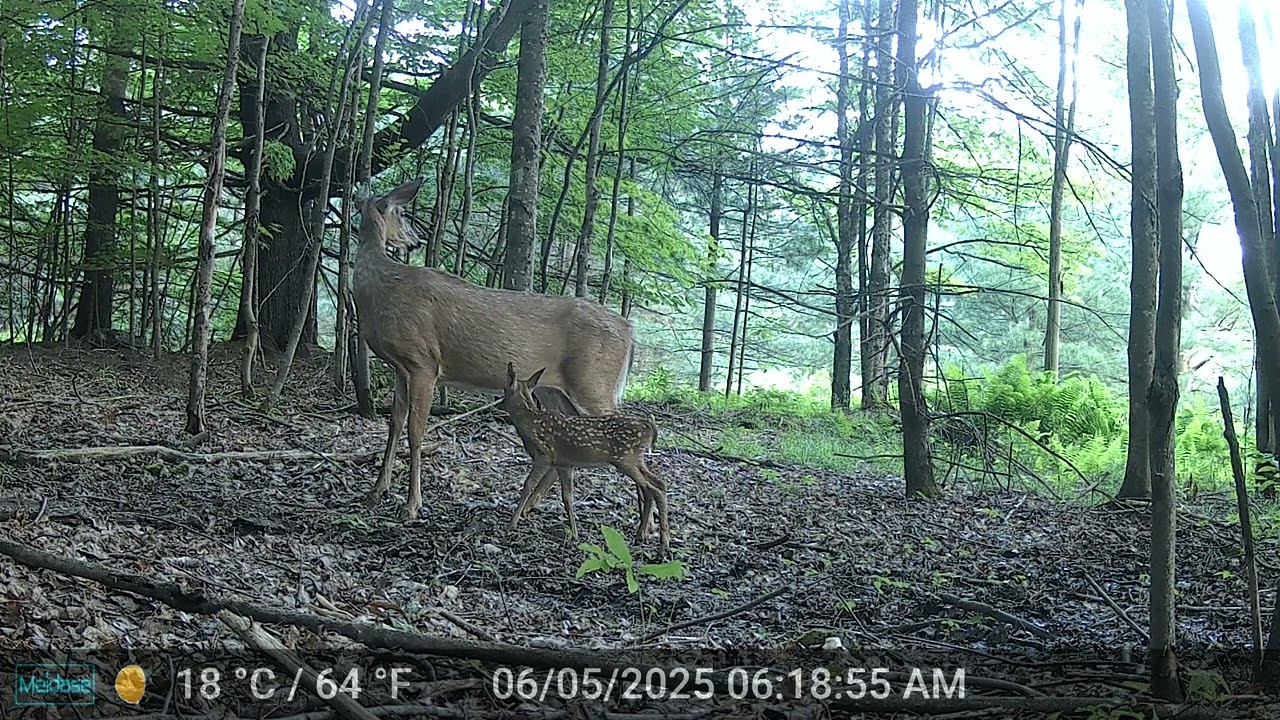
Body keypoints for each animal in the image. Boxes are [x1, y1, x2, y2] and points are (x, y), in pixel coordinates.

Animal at [352, 178, 636, 521]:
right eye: (403, 214)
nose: (415, 241)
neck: (382, 289)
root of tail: (630, 331)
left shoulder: (424, 362)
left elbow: (415, 430)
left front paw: (412, 504)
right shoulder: (399, 366)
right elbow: (394, 424)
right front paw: (377, 490)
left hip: (594, 381)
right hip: (554, 388)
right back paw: (530, 504)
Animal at [503, 362, 670, 557]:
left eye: (505, 388)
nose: (500, 405)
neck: (530, 423)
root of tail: (650, 427)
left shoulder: (544, 455)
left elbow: (528, 486)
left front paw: (512, 523)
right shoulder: (564, 464)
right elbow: (567, 497)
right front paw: (574, 534)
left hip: (626, 458)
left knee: (655, 487)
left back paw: (663, 544)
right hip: (635, 459)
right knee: (655, 484)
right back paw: (641, 536)